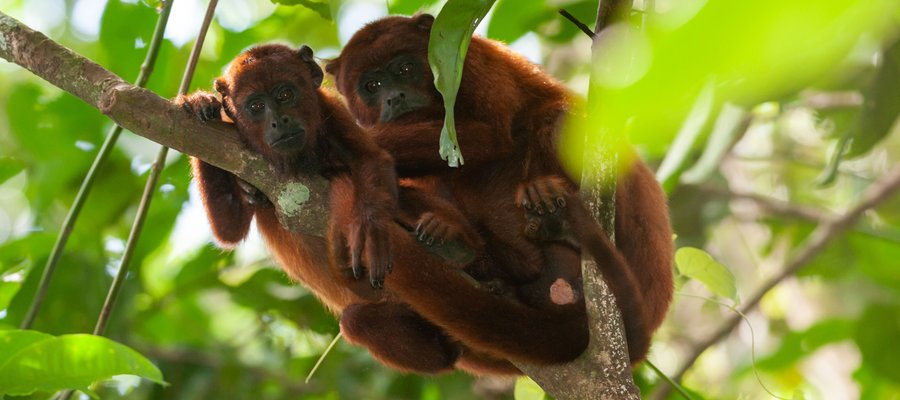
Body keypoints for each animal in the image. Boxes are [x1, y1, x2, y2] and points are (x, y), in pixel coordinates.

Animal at [326, 14, 676, 364]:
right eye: (371, 86)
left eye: (405, 68)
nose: (394, 97)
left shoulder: (472, 63)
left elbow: (490, 135)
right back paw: (463, 247)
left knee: (559, 119)